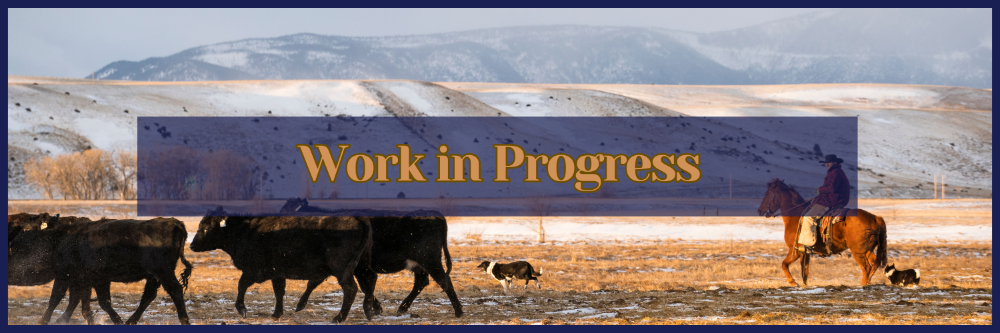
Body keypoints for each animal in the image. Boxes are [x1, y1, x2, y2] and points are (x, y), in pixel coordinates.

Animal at [8, 213, 193, 324]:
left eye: (27, 228)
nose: (13, 243)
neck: (64, 237)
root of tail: (174, 222)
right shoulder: (84, 279)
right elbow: (90, 303)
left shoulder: (68, 276)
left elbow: (57, 299)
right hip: (154, 276)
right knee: (148, 296)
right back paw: (130, 321)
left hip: (163, 272)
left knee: (175, 290)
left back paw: (184, 320)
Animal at [189, 208, 376, 322]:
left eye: (206, 228)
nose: (191, 245)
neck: (247, 230)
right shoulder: (277, 272)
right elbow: (279, 291)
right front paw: (276, 313)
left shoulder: (254, 271)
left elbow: (241, 285)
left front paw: (242, 309)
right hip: (361, 265)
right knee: (369, 280)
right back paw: (369, 311)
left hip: (342, 268)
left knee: (351, 288)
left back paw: (339, 317)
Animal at [280, 197, 462, 316]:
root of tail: (432, 213)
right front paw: (377, 307)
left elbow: (314, 282)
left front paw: (300, 305)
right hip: (419, 263)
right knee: (421, 282)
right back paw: (402, 308)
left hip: (430, 259)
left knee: (444, 281)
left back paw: (458, 311)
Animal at [756, 179, 892, 286]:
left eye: (767, 193)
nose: (759, 210)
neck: (795, 216)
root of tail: (875, 218)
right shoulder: (805, 253)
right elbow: (805, 272)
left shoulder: (795, 251)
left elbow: (785, 264)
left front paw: (793, 282)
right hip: (867, 249)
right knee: (874, 264)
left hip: (857, 251)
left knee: (866, 267)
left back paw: (863, 284)